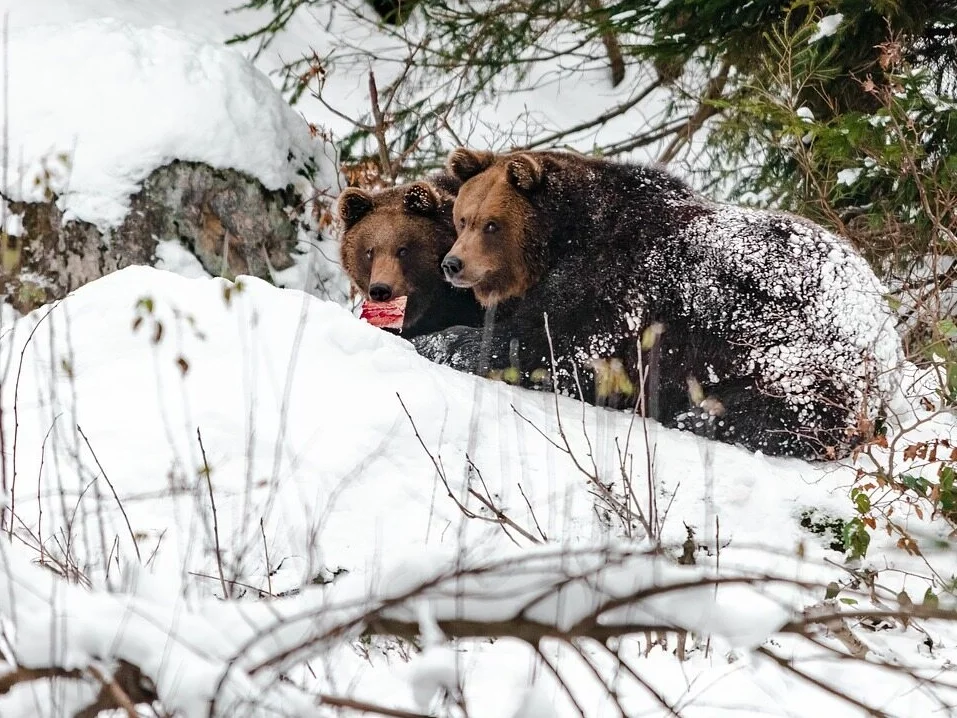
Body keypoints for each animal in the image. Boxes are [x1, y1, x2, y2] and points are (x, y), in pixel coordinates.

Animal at [412, 148, 904, 462]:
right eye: (463, 218)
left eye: (492, 225)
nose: (453, 264)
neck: (563, 238)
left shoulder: (616, 288)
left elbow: (545, 348)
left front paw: (441, 341)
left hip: (798, 351)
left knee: (788, 410)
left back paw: (697, 417)